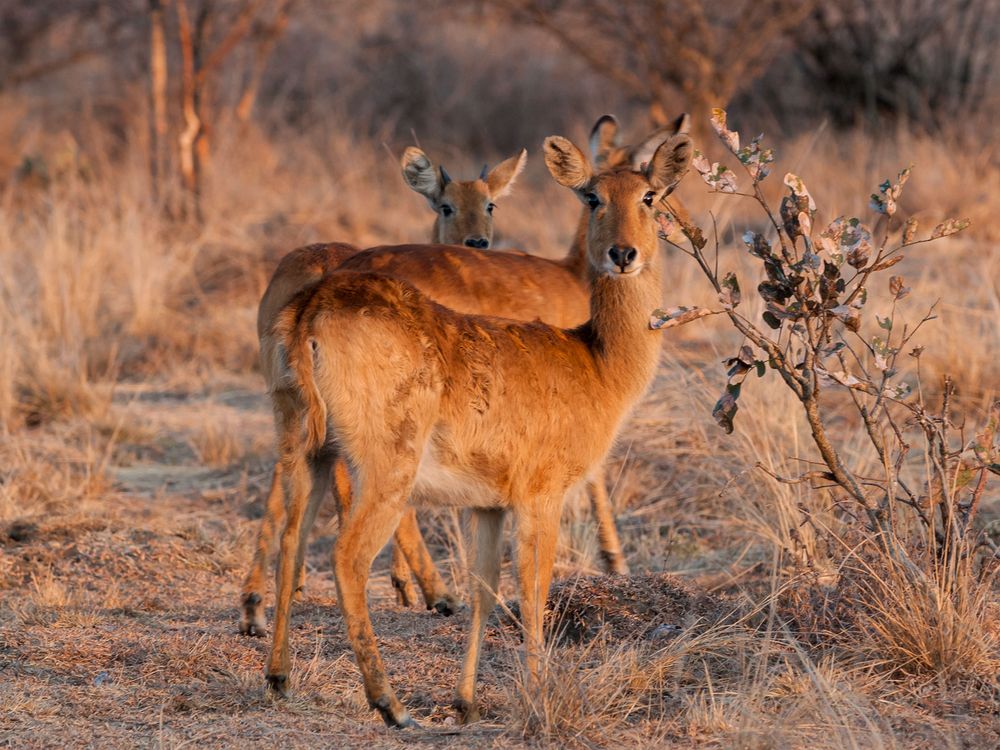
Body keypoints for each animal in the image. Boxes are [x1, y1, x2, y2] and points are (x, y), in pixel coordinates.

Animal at [242, 150, 528, 636]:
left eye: (490, 203)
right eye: (445, 205)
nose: (477, 243)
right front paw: (407, 586)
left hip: (291, 409)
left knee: (287, 482)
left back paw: (256, 606)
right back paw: (439, 593)